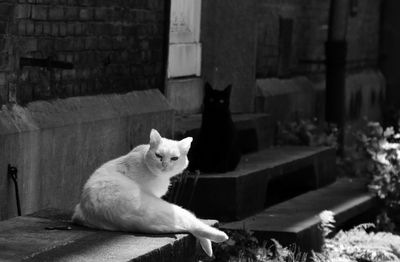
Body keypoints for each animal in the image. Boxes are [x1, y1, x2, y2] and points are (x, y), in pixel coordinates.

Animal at [72, 129, 228, 256]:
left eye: (174, 158)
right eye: (158, 155)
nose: (164, 165)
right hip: (172, 209)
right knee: (194, 223)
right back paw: (220, 237)